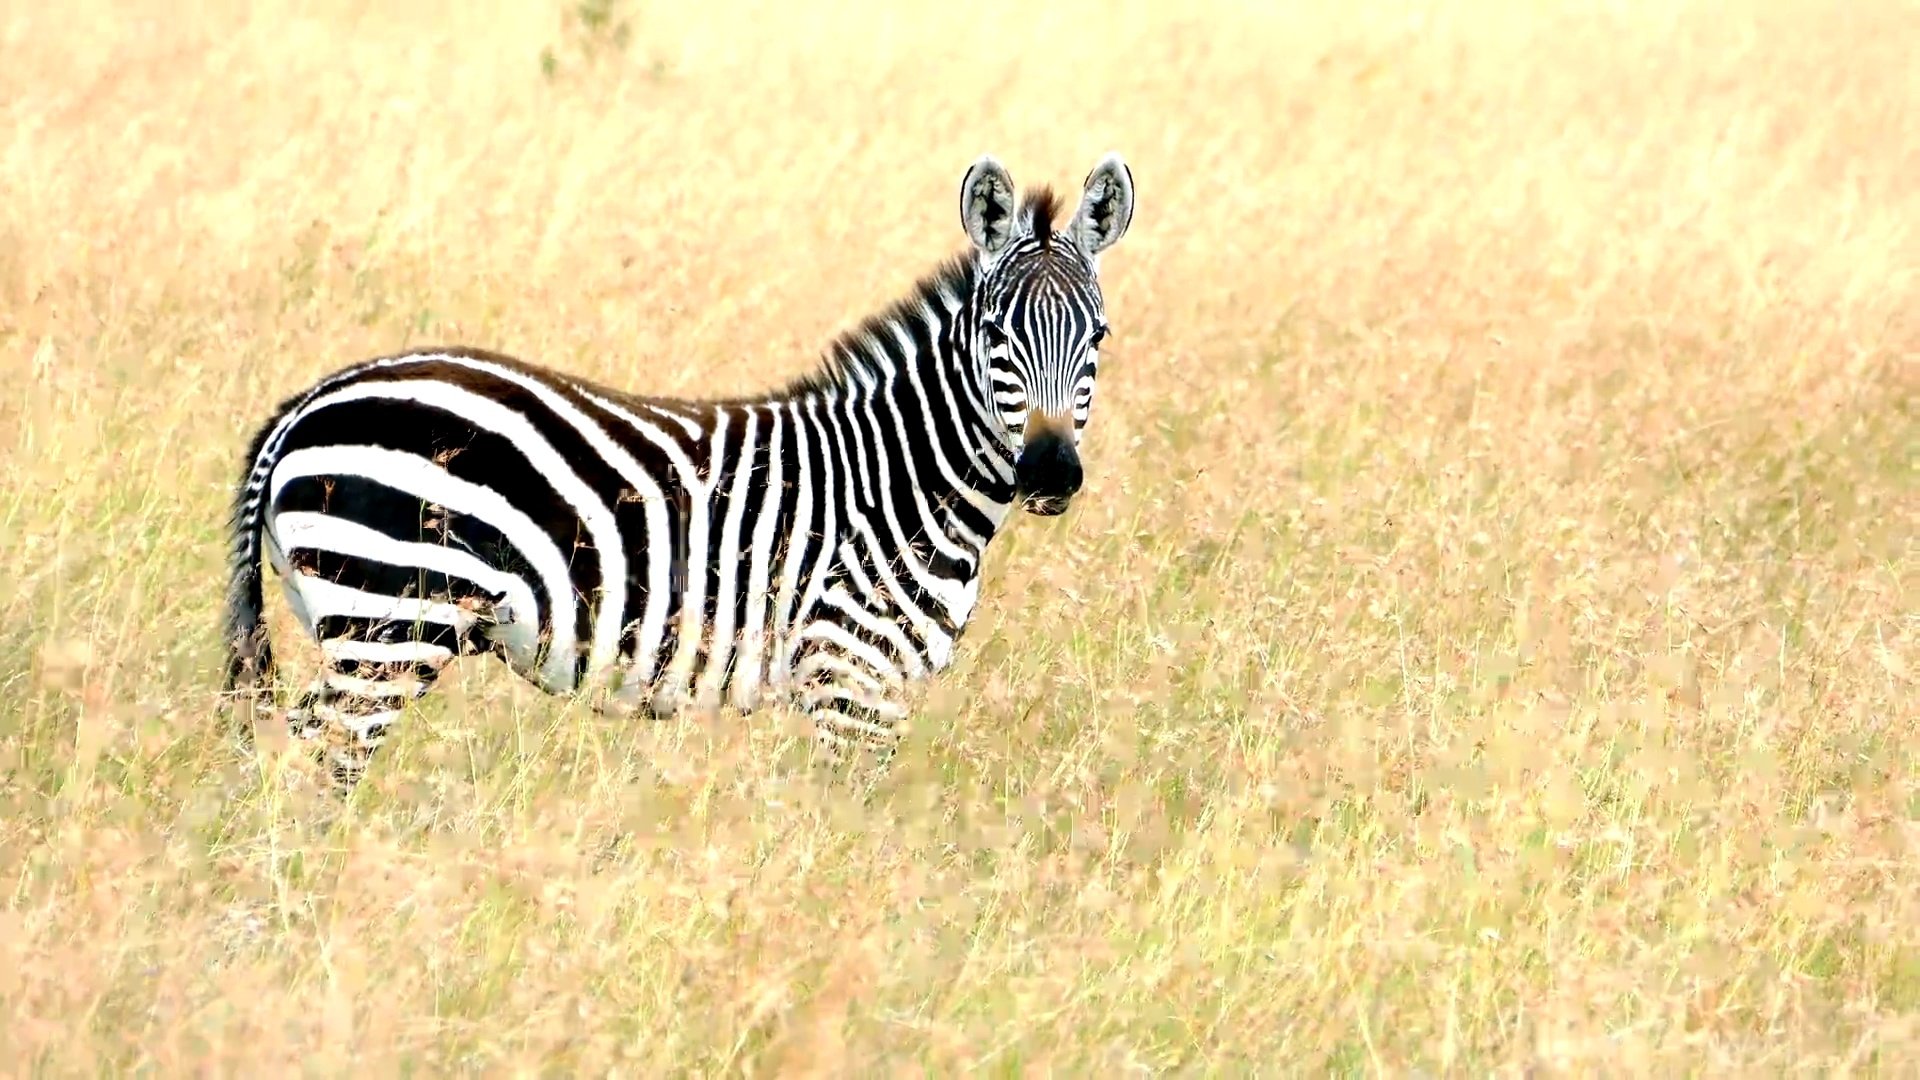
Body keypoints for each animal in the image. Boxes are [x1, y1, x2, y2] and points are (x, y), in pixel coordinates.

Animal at [224, 151, 1128, 787]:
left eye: (1098, 336)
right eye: (995, 334)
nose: (1050, 474)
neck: (901, 480)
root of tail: (307, 402)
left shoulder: (879, 688)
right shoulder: (852, 681)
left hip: (353, 622)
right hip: (389, 619)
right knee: (317, 766)